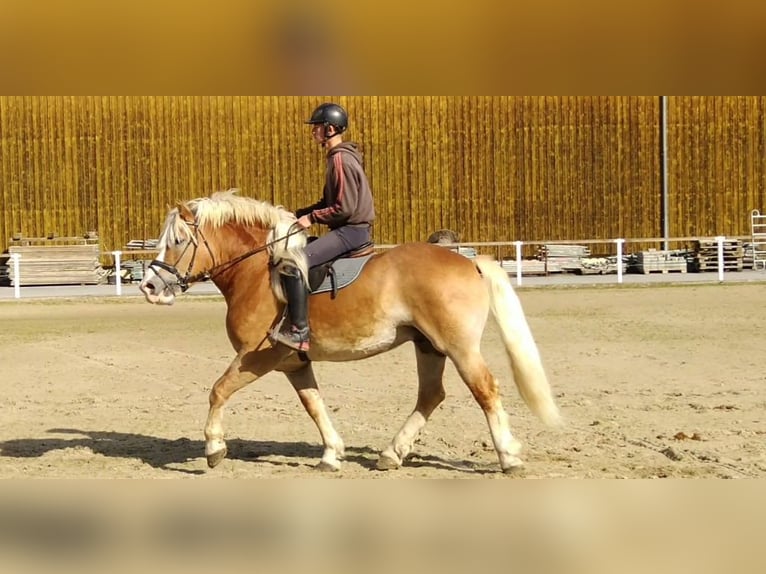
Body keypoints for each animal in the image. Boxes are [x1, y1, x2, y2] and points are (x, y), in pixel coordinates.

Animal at [139, 189, 561, 473]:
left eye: (178, 241)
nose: (149, 286)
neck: (257, 272)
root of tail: (467, 262)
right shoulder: (293, 362)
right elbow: (314, 404)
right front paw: (331, 453)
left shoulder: (258, 357)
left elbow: (218, 390)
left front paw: (213, 447)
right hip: (428, 346)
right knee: (431, 395)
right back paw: (392, 453)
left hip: (459, 347)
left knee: (484, 390)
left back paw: (508, 456)